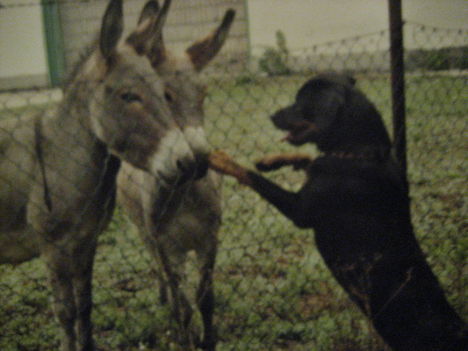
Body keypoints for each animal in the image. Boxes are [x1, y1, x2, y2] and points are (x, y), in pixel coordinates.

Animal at [210, 73, 466, 351]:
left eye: (300, 102)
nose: (271, 115)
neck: (358, 152)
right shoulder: (321, 166)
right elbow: (307, 159)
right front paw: (270, 161)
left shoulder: (300, 211)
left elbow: (255, 178)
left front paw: (221, 159)